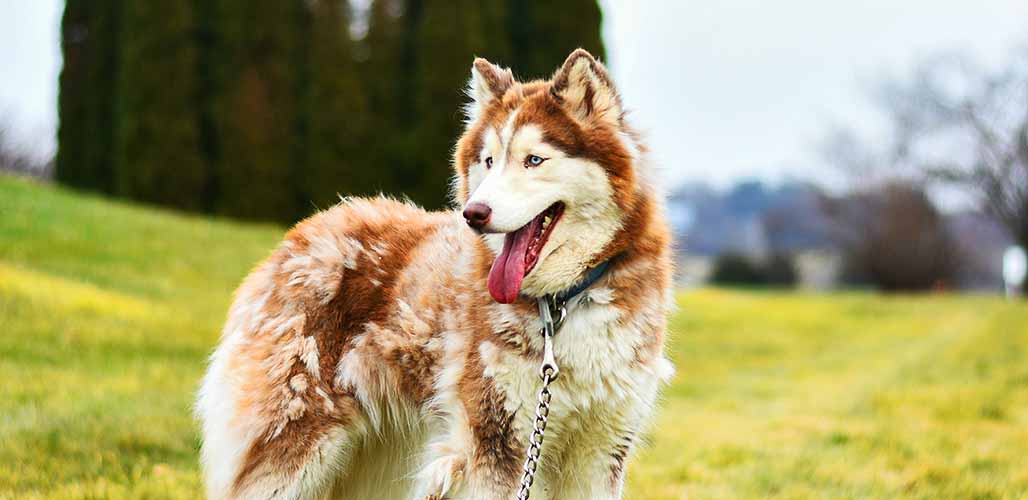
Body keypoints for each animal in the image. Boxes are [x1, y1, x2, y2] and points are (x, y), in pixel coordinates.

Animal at [196, 49, 674, 500]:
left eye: (534, 160)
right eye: (488, 160)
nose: (474, 213)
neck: (564, 303)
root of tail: (305, 231)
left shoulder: (598, 454)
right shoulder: (496, 445)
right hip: (295, 448)